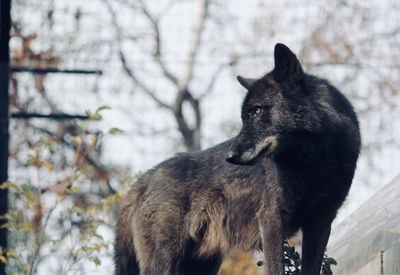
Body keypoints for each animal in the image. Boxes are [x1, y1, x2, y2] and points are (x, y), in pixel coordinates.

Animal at [114, 43, 360, 275]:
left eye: (257, 111)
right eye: (243, 117)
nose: (230, 157)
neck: (314, 162)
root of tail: (143, 179)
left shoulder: (321, 222)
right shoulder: (271, 219)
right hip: (164, 262)